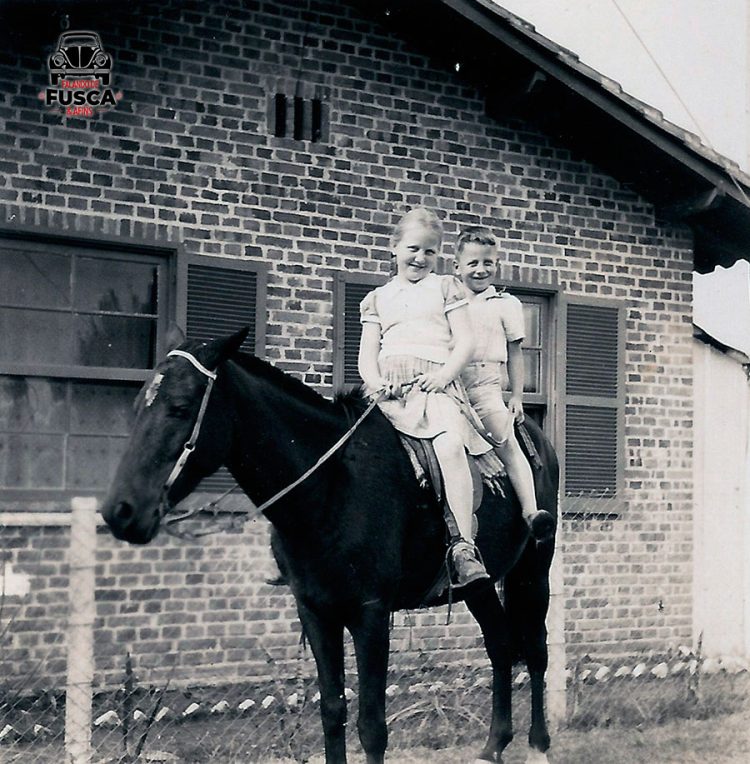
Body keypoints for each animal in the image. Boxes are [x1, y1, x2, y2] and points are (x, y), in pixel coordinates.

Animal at [101, 328, 559, 764]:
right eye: (138, 405)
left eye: (180, 407)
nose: (119, 511)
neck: (332, 485)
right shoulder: (316, 612)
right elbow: (332, 711)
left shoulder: (370, 614)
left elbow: (371, 725)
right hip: (478, 584)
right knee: (500, 644)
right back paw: (493, 746)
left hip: (534, 569)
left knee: (536, 652)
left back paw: (538, 746)